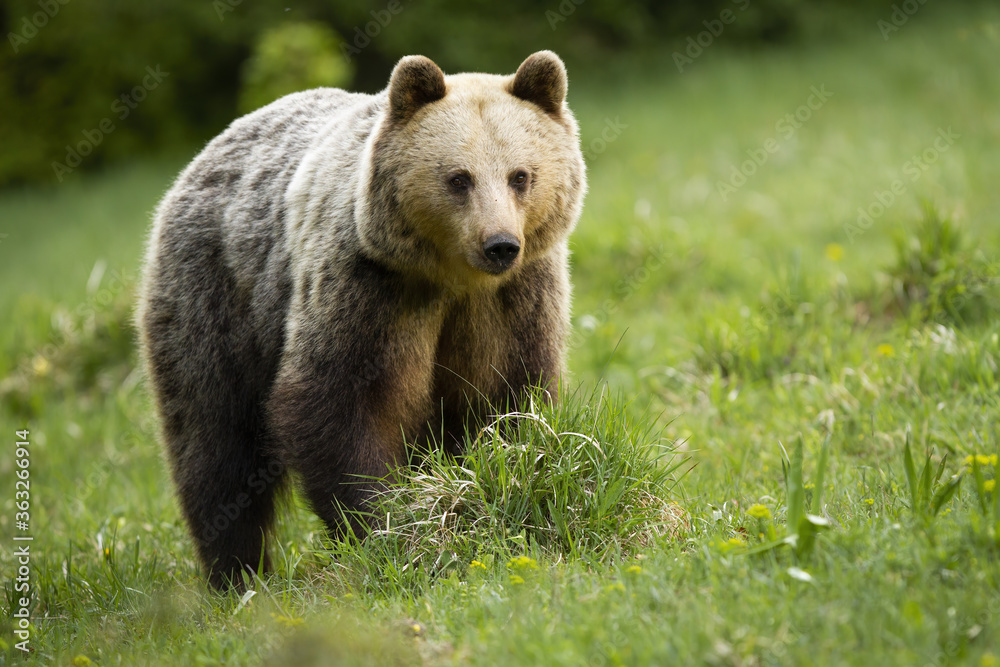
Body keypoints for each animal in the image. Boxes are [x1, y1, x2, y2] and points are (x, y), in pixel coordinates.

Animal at [137, 51, 587, 589]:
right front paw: (388, 524)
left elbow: (514, 399)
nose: (499, 244)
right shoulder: (370, 288)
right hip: (215, 301)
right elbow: (334, 401)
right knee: (213, 445)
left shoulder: (513, 301)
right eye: (459, 178)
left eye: (521, 175)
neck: (453, 280)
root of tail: (207, 152)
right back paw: (237, 575)